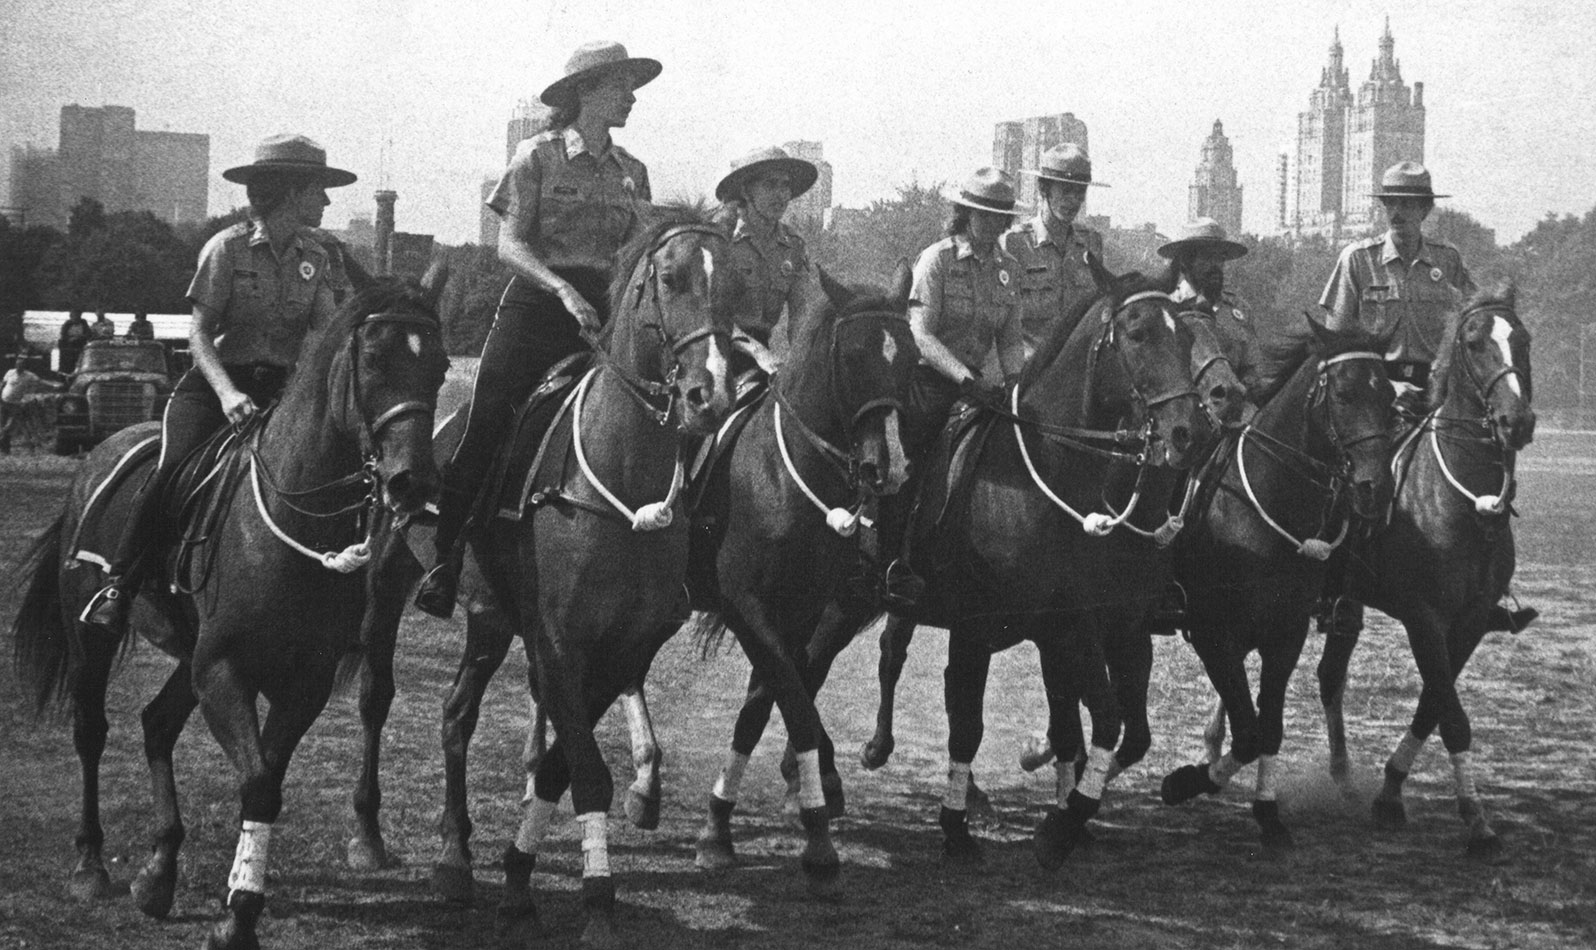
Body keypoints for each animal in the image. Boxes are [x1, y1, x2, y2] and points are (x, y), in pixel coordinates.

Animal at [12, 269, 450, 950]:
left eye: (441, 366)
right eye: (374, 358)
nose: (414, 483)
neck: (293, 519)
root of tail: (102, 451)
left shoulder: (301, 681)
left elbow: (266, 779)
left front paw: (236, 898)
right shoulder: (222, 670)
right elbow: (260, 784)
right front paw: (239, 913)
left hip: (189, 655)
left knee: (157, 723)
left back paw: (158, 874)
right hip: (94, 639)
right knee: (92, 731)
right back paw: (90, 864)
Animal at [686, 263, 925, 887]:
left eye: (911, 357)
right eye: (854, 355)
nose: (892, 467)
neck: (781, 475)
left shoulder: (802, 610)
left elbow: (768, 700)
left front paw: (721, 822)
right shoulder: (748, 607)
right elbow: (791, 698)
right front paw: (815, 821)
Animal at [1149, 319, 1398, 849]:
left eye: (1388, 396)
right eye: (1343, 394)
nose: (1375, 488)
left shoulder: (1285, 635)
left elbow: (1268, 726)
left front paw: (1267, 812)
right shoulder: (1214, 637)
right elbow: (1247, 730)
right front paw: (1184, 782)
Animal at [1308, 284, 1532, 862]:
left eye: (1522, 339)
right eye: (1474, 342)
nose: (1516, 421)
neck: (1461, 504)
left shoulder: (1471, 622)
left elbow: (1435, 702)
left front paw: (1390, 790)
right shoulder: (1425, 618)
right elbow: (1451, 715)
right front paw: (1476, 820)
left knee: (1329, 674)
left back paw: (1340, 775)